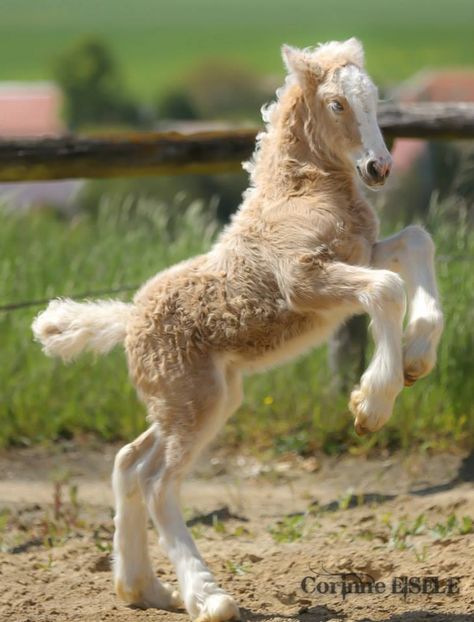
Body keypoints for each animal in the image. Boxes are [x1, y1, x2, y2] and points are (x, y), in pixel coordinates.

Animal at [34, 39, 444, 622]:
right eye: (338, 104)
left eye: (375, 100)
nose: (380, 167)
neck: (300, 191)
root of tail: (129, 317)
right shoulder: (305, 282)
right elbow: (387, 288)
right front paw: (371, 403)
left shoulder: (360, 253)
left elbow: (415, 243)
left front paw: (417, 358)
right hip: (192, 402)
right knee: (157, 484)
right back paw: (207, 597)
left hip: (198, 401)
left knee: (129, 464)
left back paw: (145, 589)